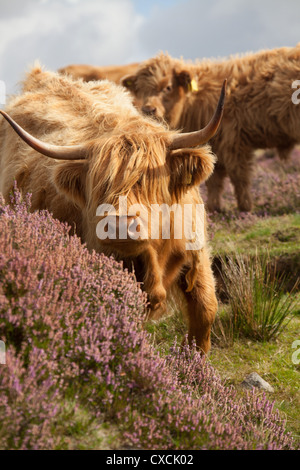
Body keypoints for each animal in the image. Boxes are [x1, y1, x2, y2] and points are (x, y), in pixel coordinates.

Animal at [0, 65, 225, 352]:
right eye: (101, 185)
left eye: (146, 179)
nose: (119, 225)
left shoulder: (196, 253)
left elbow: (205, 311)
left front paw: (195, 363)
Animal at [121, 46, 300, 212]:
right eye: (140, 90)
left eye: (168, 87)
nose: (148, 109)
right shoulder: (215, 145)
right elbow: (214, 181)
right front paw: (214, 208)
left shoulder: (234, 142)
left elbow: (239, 177)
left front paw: (245, 207)